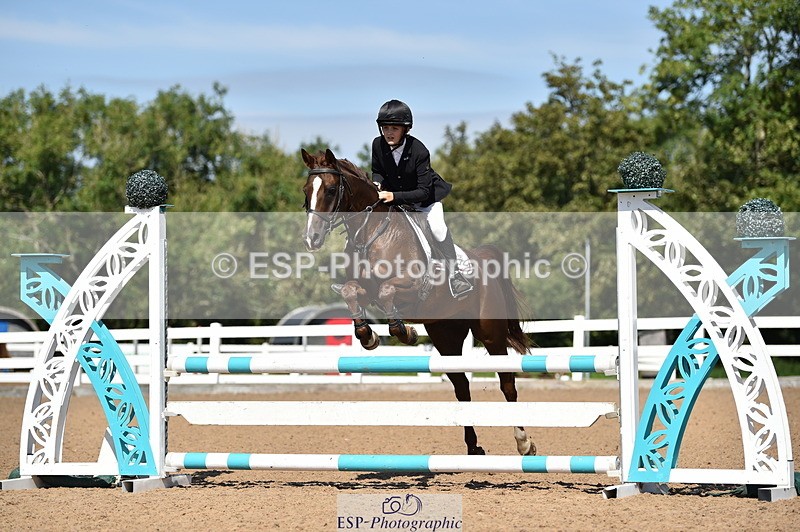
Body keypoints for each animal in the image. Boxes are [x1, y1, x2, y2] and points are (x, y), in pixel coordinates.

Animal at [301, 148, 536, 456]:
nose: (312, 239)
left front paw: (405, 332)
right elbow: (351, 292)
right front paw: (368, 336)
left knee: (507, 382)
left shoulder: (412, 288)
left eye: (330, 190)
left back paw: (524, 443)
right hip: (446, 335)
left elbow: (387, 291)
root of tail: (484, 259)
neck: (372, 233)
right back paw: (473, 448)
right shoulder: (365, 290)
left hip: (490, 333)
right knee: (462, 387)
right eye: (306, 191)